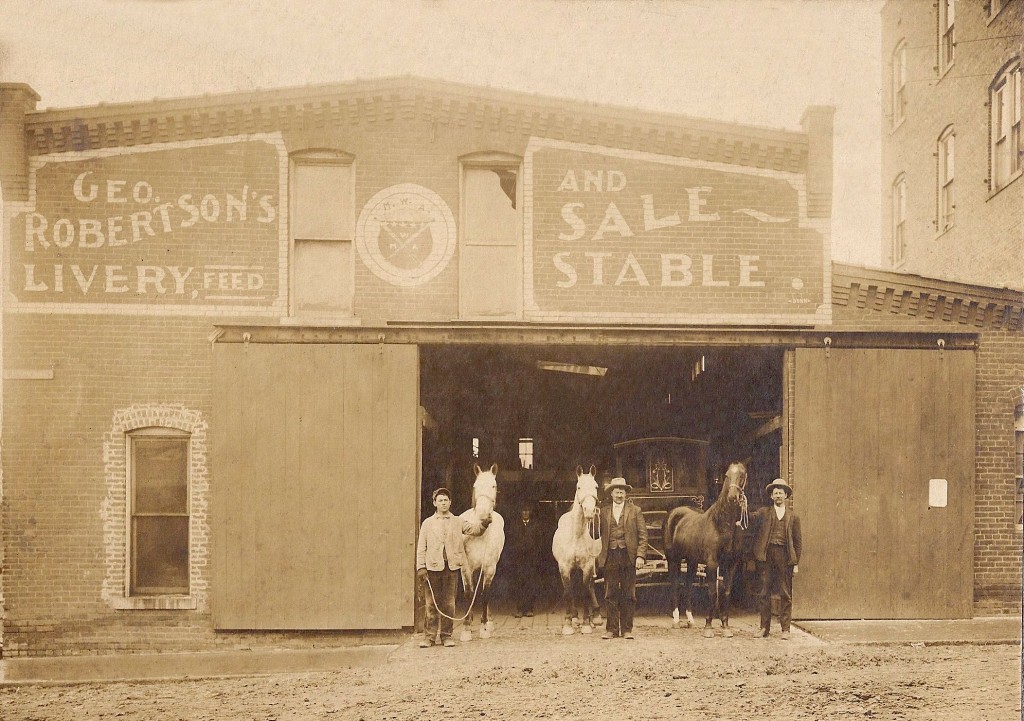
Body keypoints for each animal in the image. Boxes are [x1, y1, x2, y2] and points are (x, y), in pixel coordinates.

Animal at [557, 464, 602, 634]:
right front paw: (568, 624)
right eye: (578, 487)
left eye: (596, 486)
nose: (589, 511)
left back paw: (594, 617)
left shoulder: (587, 567)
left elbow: (585, 592)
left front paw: (586, 625)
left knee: (589, 588)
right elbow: (569, 592)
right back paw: (575, 617)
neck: (575, 536)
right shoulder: (565, 568)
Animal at [659, 462, 749, 634]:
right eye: (726, 475)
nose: (732, 497)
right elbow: (712, 593)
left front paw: (725, 626)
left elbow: (726, 592)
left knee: (687, 585)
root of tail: (673, 513)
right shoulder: (712, 563)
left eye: (742, 475)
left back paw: (690, 620)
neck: (721, 524)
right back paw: (676, 620)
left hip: (692, 561)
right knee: (675, 585)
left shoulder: (731, 564)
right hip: (673, 559)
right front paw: (708, 627)